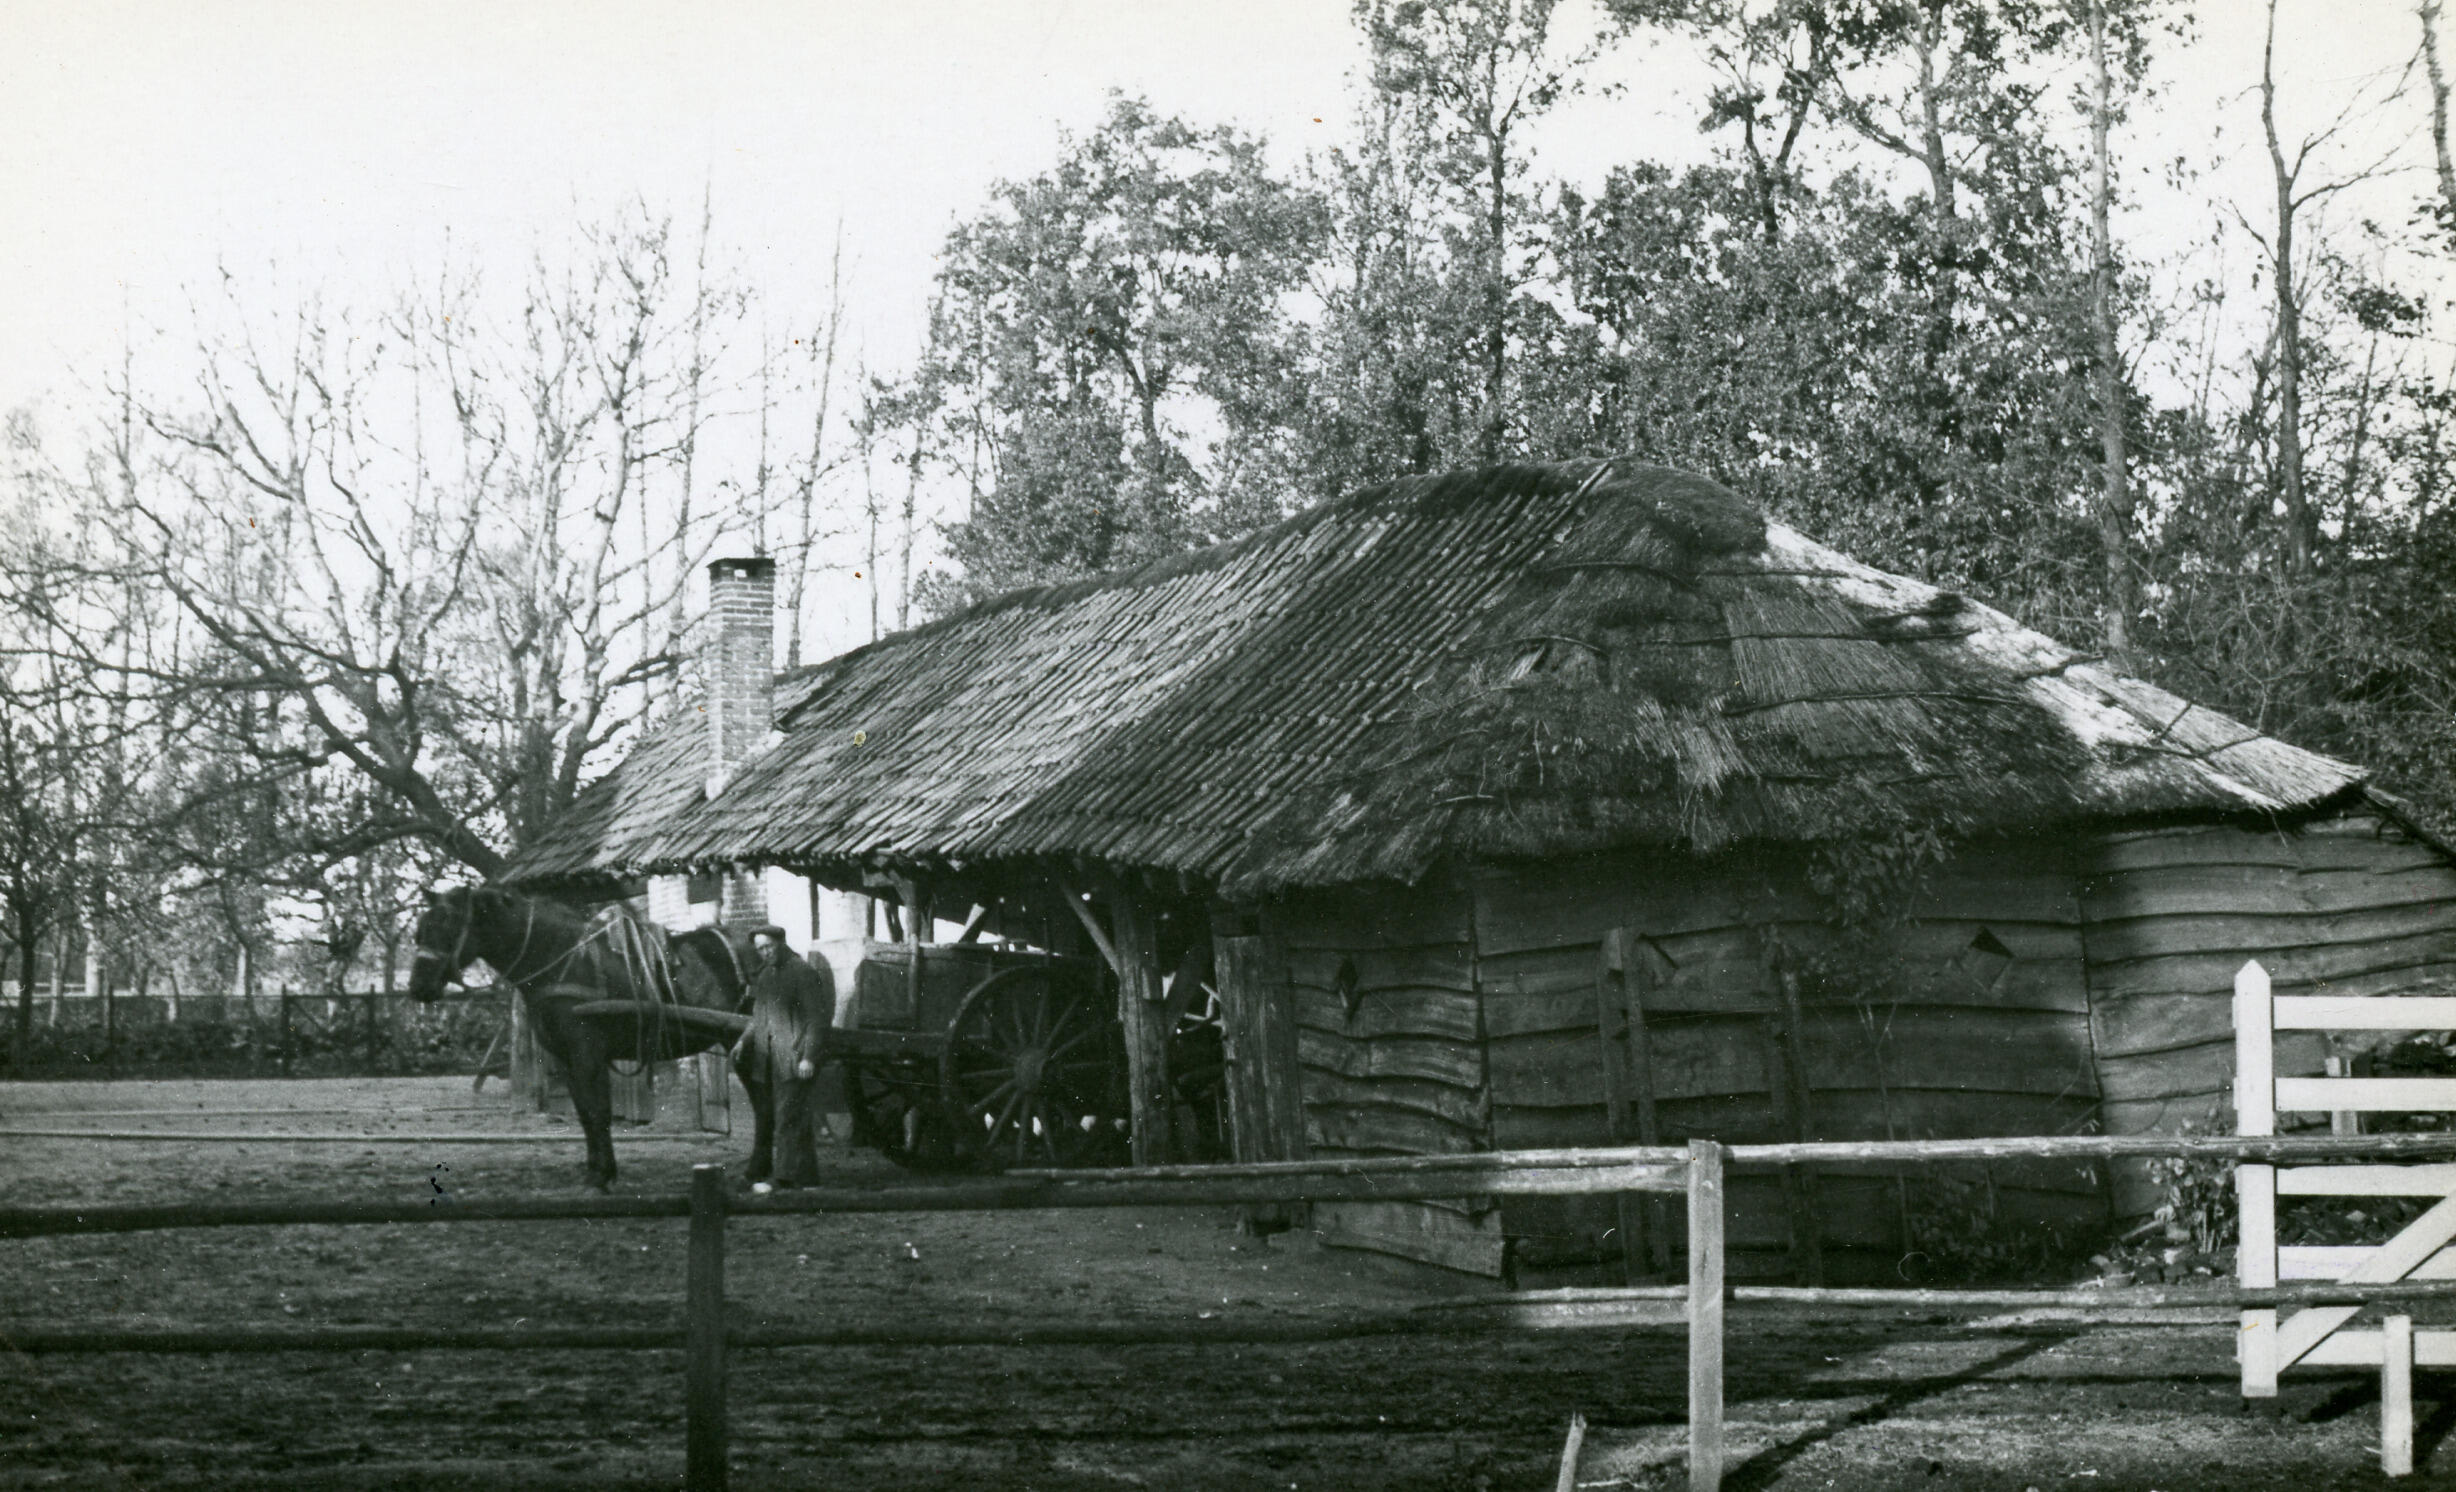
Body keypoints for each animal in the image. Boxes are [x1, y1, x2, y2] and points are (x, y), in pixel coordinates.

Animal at [407, 885, 779, 1191]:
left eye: (447, 926)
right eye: (420, 930)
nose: (418, 987)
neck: (561, 959)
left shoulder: (587, 1054)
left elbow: (599, 1112)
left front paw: (603, 1176)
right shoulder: (566, 1058)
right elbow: (586, 1115)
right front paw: (594, 1172)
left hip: (743, 1042)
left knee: (764, 1103)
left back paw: (757, 1171)